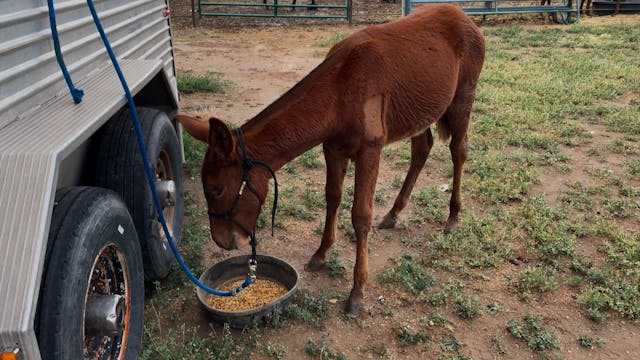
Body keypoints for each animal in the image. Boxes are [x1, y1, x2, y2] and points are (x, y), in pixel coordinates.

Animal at [175, 4, 484, 316]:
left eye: (217, 190)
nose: (222, 240)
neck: (338, 94)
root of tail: (463, 16)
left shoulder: (370, 150)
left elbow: (361, 215)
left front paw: (357, 292)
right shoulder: (333, 148)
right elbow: (332, 197)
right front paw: (321, 253)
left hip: (462, 98)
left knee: (458, 151)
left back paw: (453, 216)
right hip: (419, 112)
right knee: (422, 148)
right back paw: (393, 213)